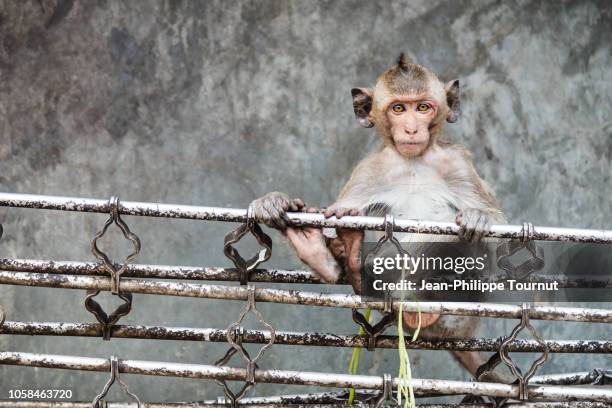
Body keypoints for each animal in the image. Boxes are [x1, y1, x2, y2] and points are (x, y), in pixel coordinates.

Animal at [251, 54, 510, 382]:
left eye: (422, 107)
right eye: (398, 109)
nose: (411, 129)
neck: (413, 162)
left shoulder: (457, 163)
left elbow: (502, 236)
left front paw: (478, 216)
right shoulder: (370, 170)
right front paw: (275, 203)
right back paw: (328, 253)